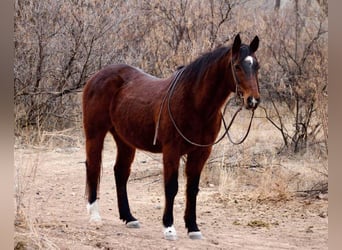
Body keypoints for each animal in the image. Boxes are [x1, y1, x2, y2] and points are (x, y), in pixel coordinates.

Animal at [82, 33, 260, 240]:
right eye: (237, 66)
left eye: (256, 66)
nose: (253, 100)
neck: (194, 103)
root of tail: (96, 76)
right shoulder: (171, 151)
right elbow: (171, 187)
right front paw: (169, 227)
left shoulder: (201, 153)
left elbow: (192, 189)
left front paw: (193, 228)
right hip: (95, 135)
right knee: (93, 168)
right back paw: (94, 215)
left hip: (125, 141)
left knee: (120, 172)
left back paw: (129, 217)